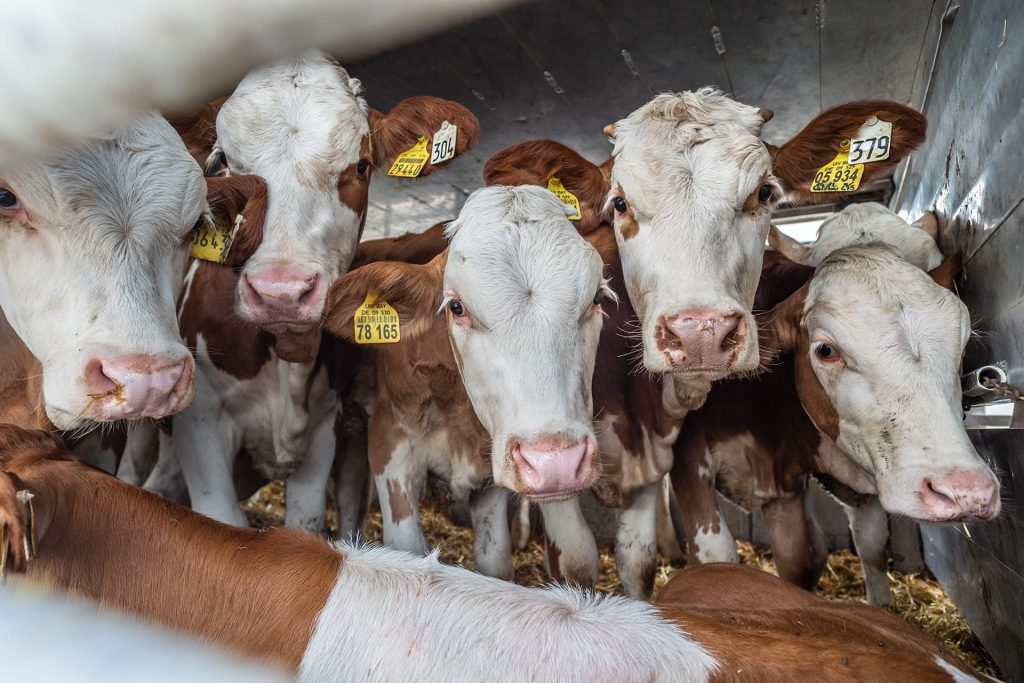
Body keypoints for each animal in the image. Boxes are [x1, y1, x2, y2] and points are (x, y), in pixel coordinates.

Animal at [148, 50, 479, 532]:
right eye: (224, 162)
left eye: (361, 165)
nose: (281, 292)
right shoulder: (202, 420)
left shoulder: (324, 428)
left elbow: (306, 526)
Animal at [323, 184, 606, 581]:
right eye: (456, 307)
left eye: (596, 297)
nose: (555, 463)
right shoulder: (389, 440)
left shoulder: (488, 475)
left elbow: (502, 559)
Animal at [671, 242, 999, 606]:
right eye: (825, 350)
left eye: (964, 348)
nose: (964, 491)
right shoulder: (688, 457)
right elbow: (716, 557)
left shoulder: (790, 484)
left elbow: (830, 554)